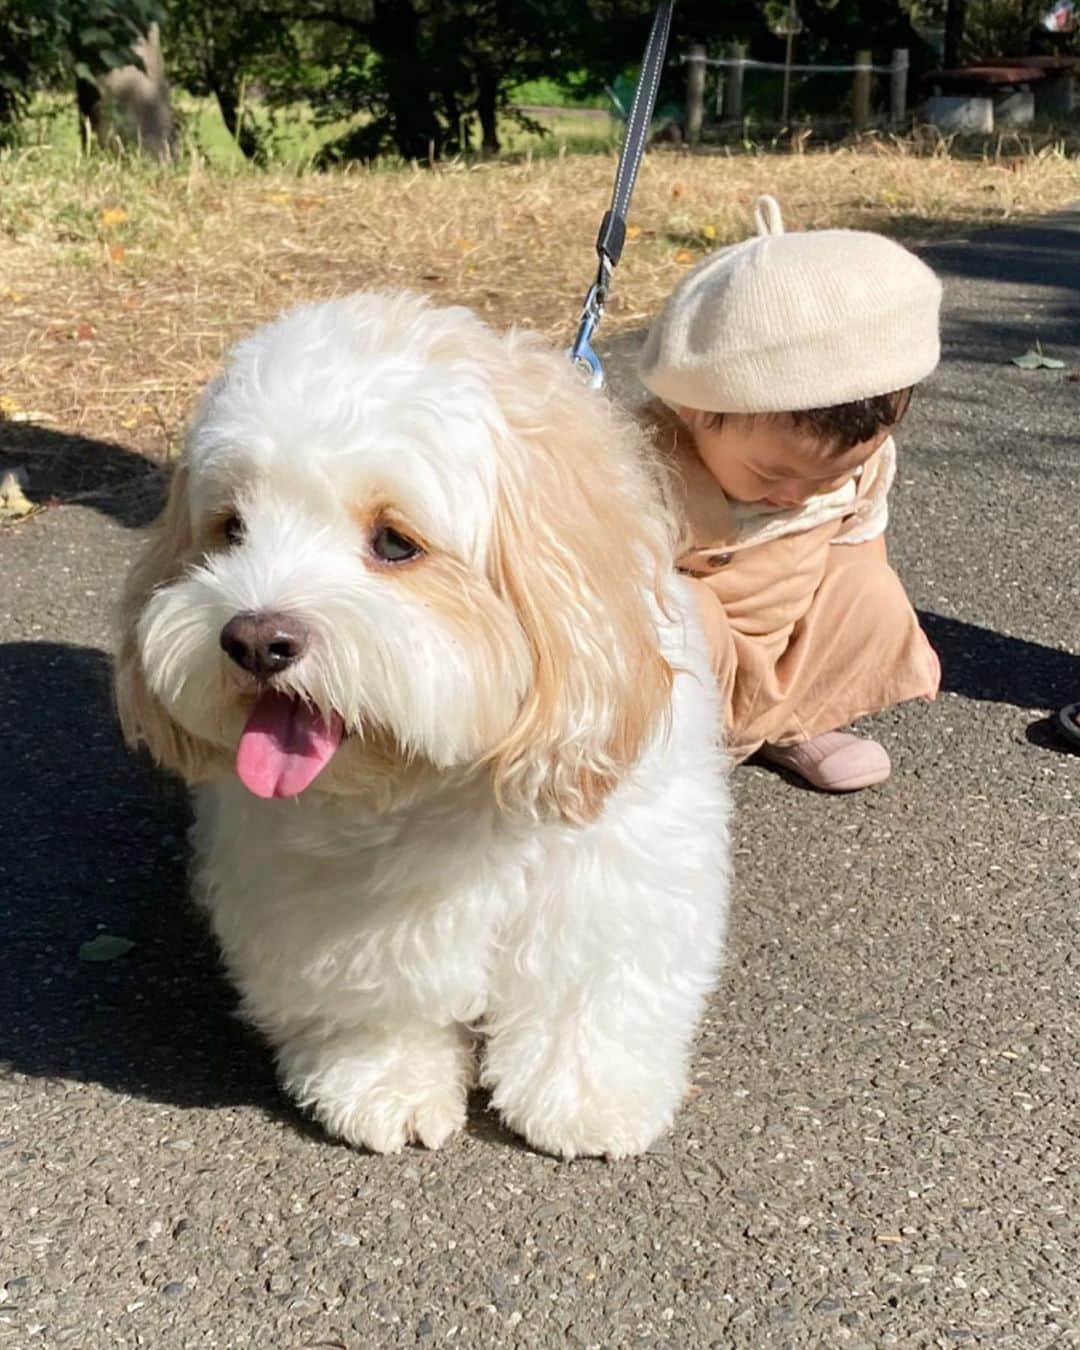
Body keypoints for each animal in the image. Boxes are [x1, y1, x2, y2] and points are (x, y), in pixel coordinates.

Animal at [114, 290, 729, 1155]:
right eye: (231, 528)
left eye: (395, 542)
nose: (254, 639)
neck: (433, 784)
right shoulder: (321, 897)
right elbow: (375, 989)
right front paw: (384, 1080)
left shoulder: (612, 871)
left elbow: (588, 981)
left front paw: (586, 1093)